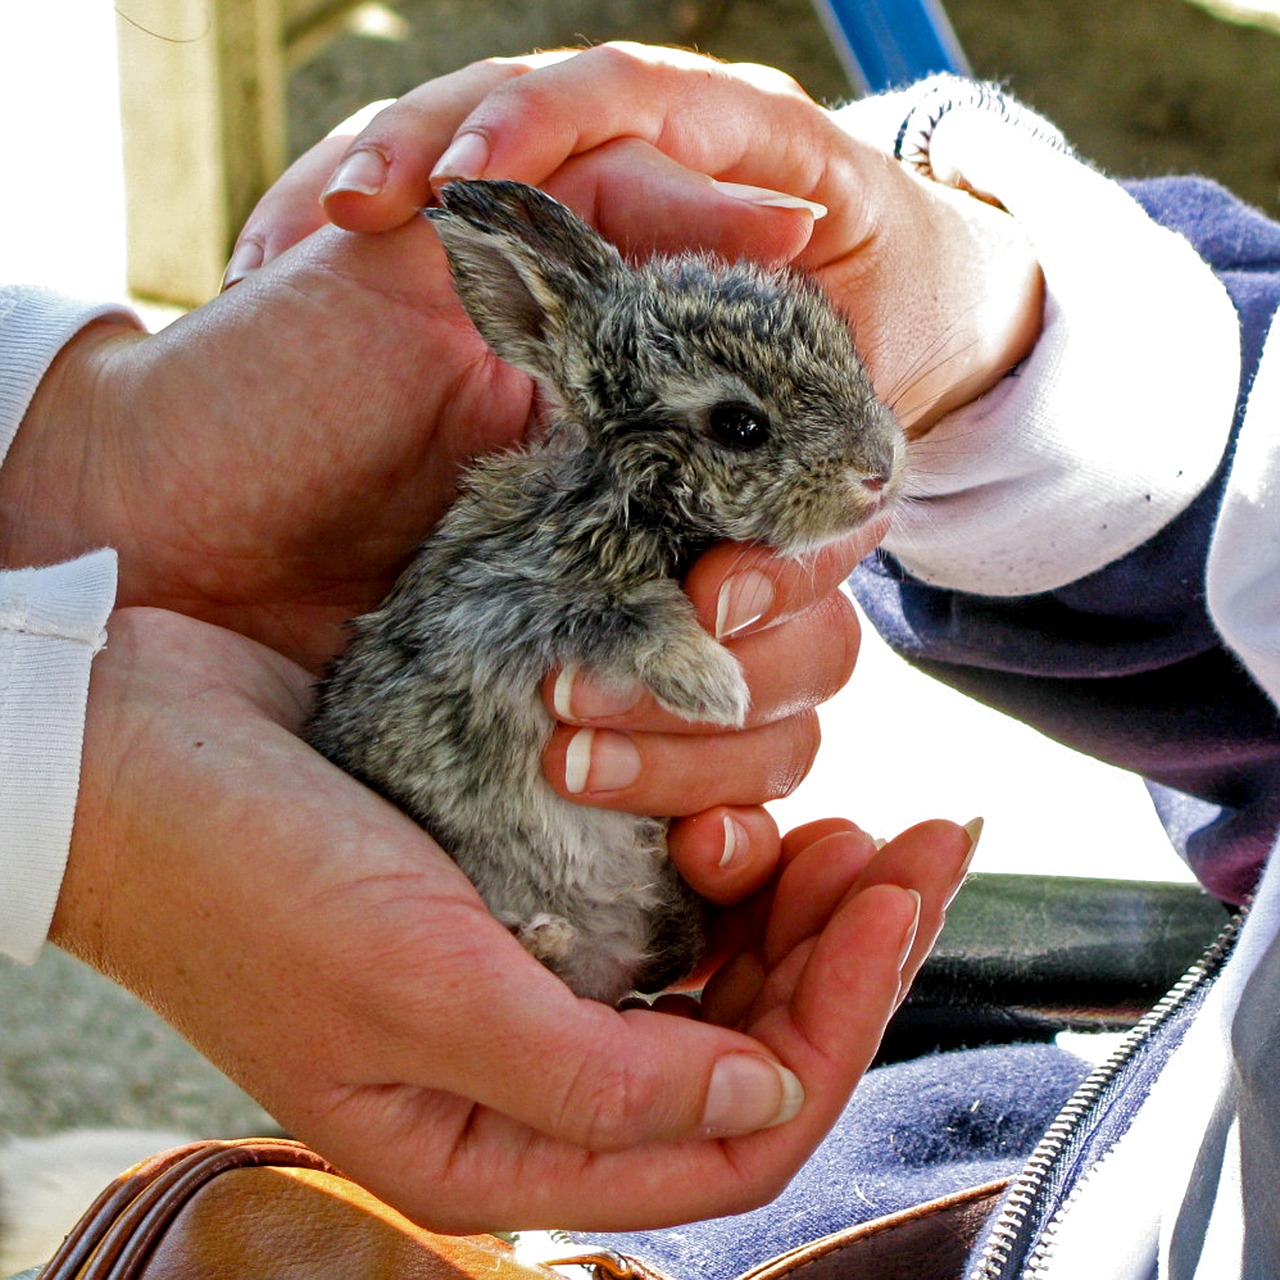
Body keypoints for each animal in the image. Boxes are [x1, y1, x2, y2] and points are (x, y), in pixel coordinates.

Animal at [307, 180, 901, 1003]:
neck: (629, 492)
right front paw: (715, 687)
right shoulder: (506, 608)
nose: (881, 468)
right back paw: (544, 937)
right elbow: (625, 615)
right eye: (740, 425)